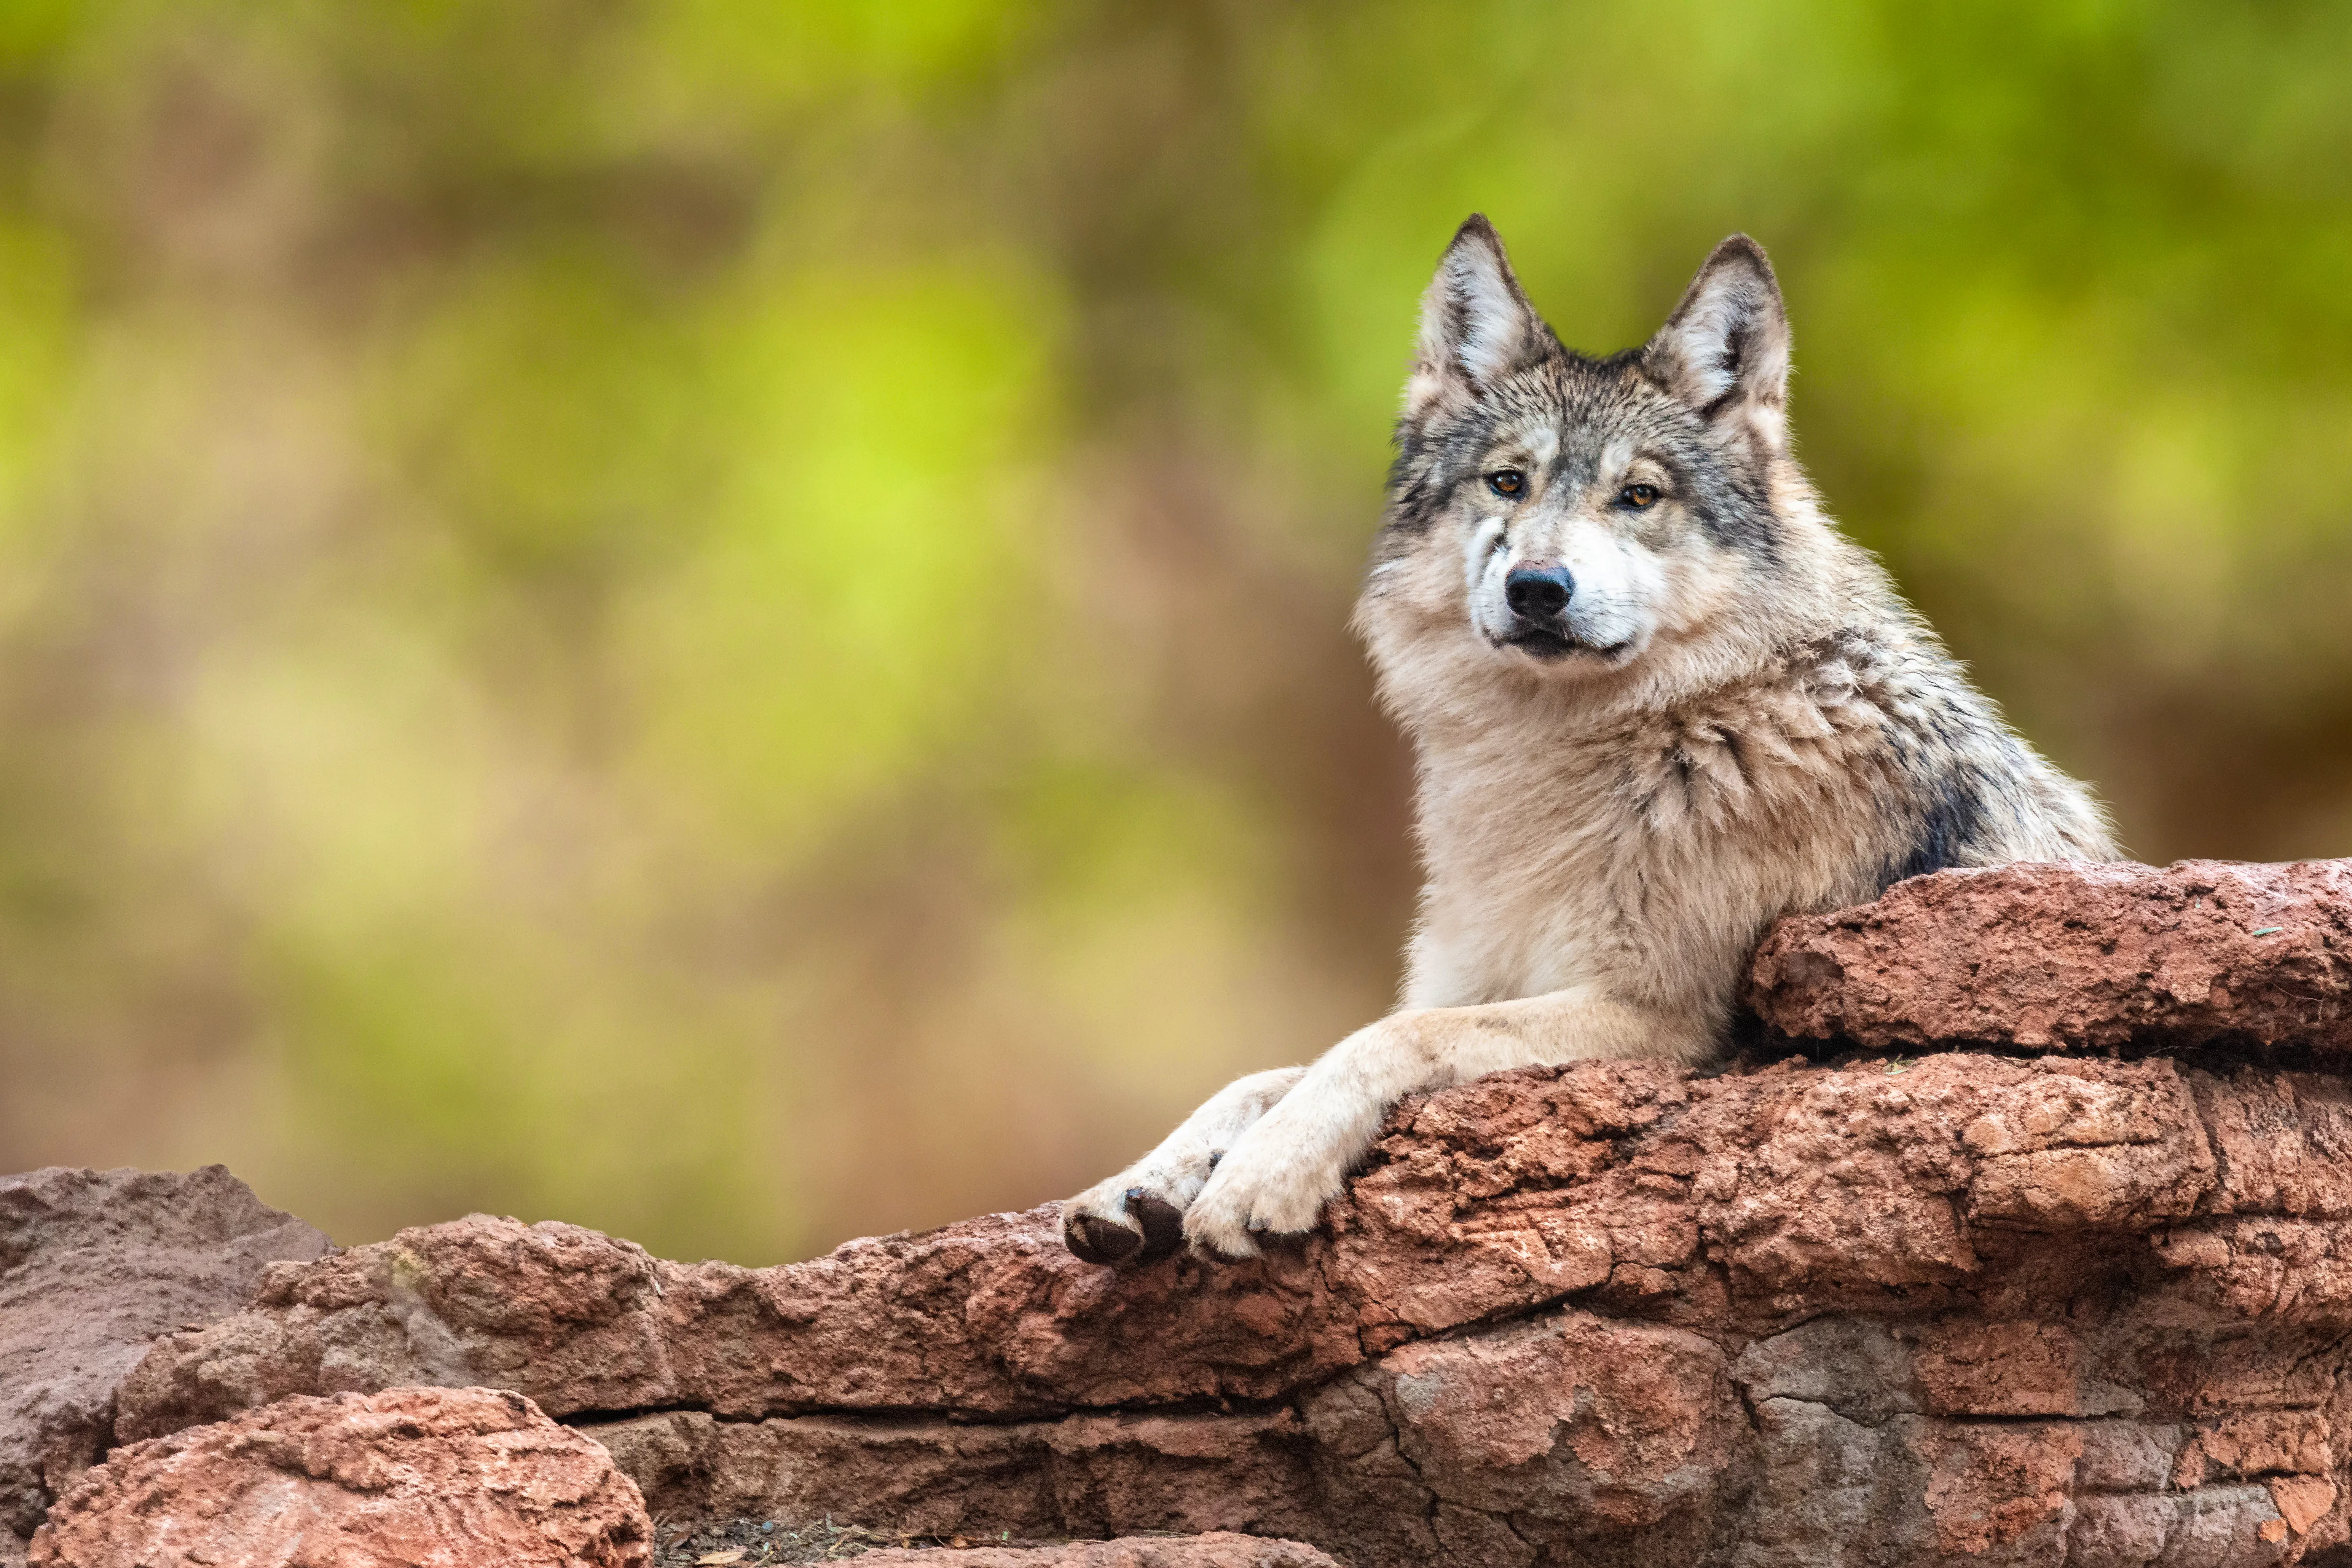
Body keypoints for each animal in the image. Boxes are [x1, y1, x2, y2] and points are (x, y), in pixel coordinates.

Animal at [1061, 218, 2119, 1266]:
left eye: (1637, 496)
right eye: (1506, 483)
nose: (1536, 587)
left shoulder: (1655, 1019)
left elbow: (1383, 1040)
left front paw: (1259, 1177)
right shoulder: (1480, 975)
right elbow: (1265, 1072)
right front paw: (1133, 1184)